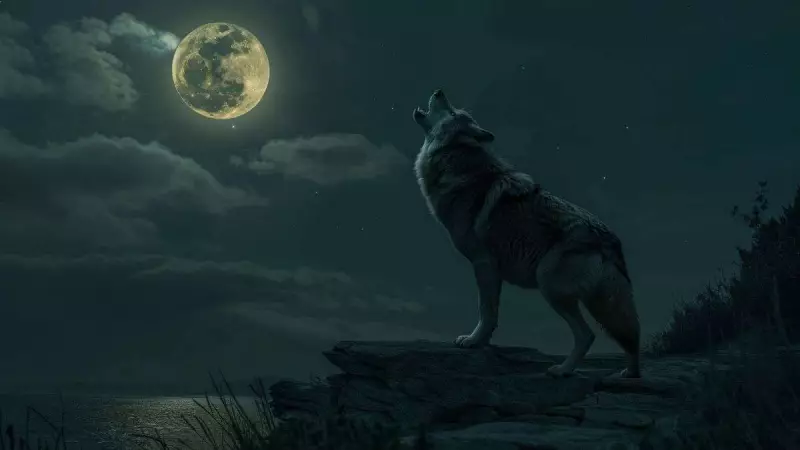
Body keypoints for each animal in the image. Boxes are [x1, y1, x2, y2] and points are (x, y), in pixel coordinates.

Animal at [412, 89, 641, 378]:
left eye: (453, 112)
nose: (439, 90)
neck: (453, 161)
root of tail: (610, 239)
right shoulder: (493, 270)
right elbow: (493, 313)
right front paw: (483, 342)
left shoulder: (484, 263)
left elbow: (486, 310)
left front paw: (473, 341)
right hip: (597, 301)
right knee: (629, 335)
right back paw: (628, 374)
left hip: (550, 285)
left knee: (587, 335)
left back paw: (562, 370)